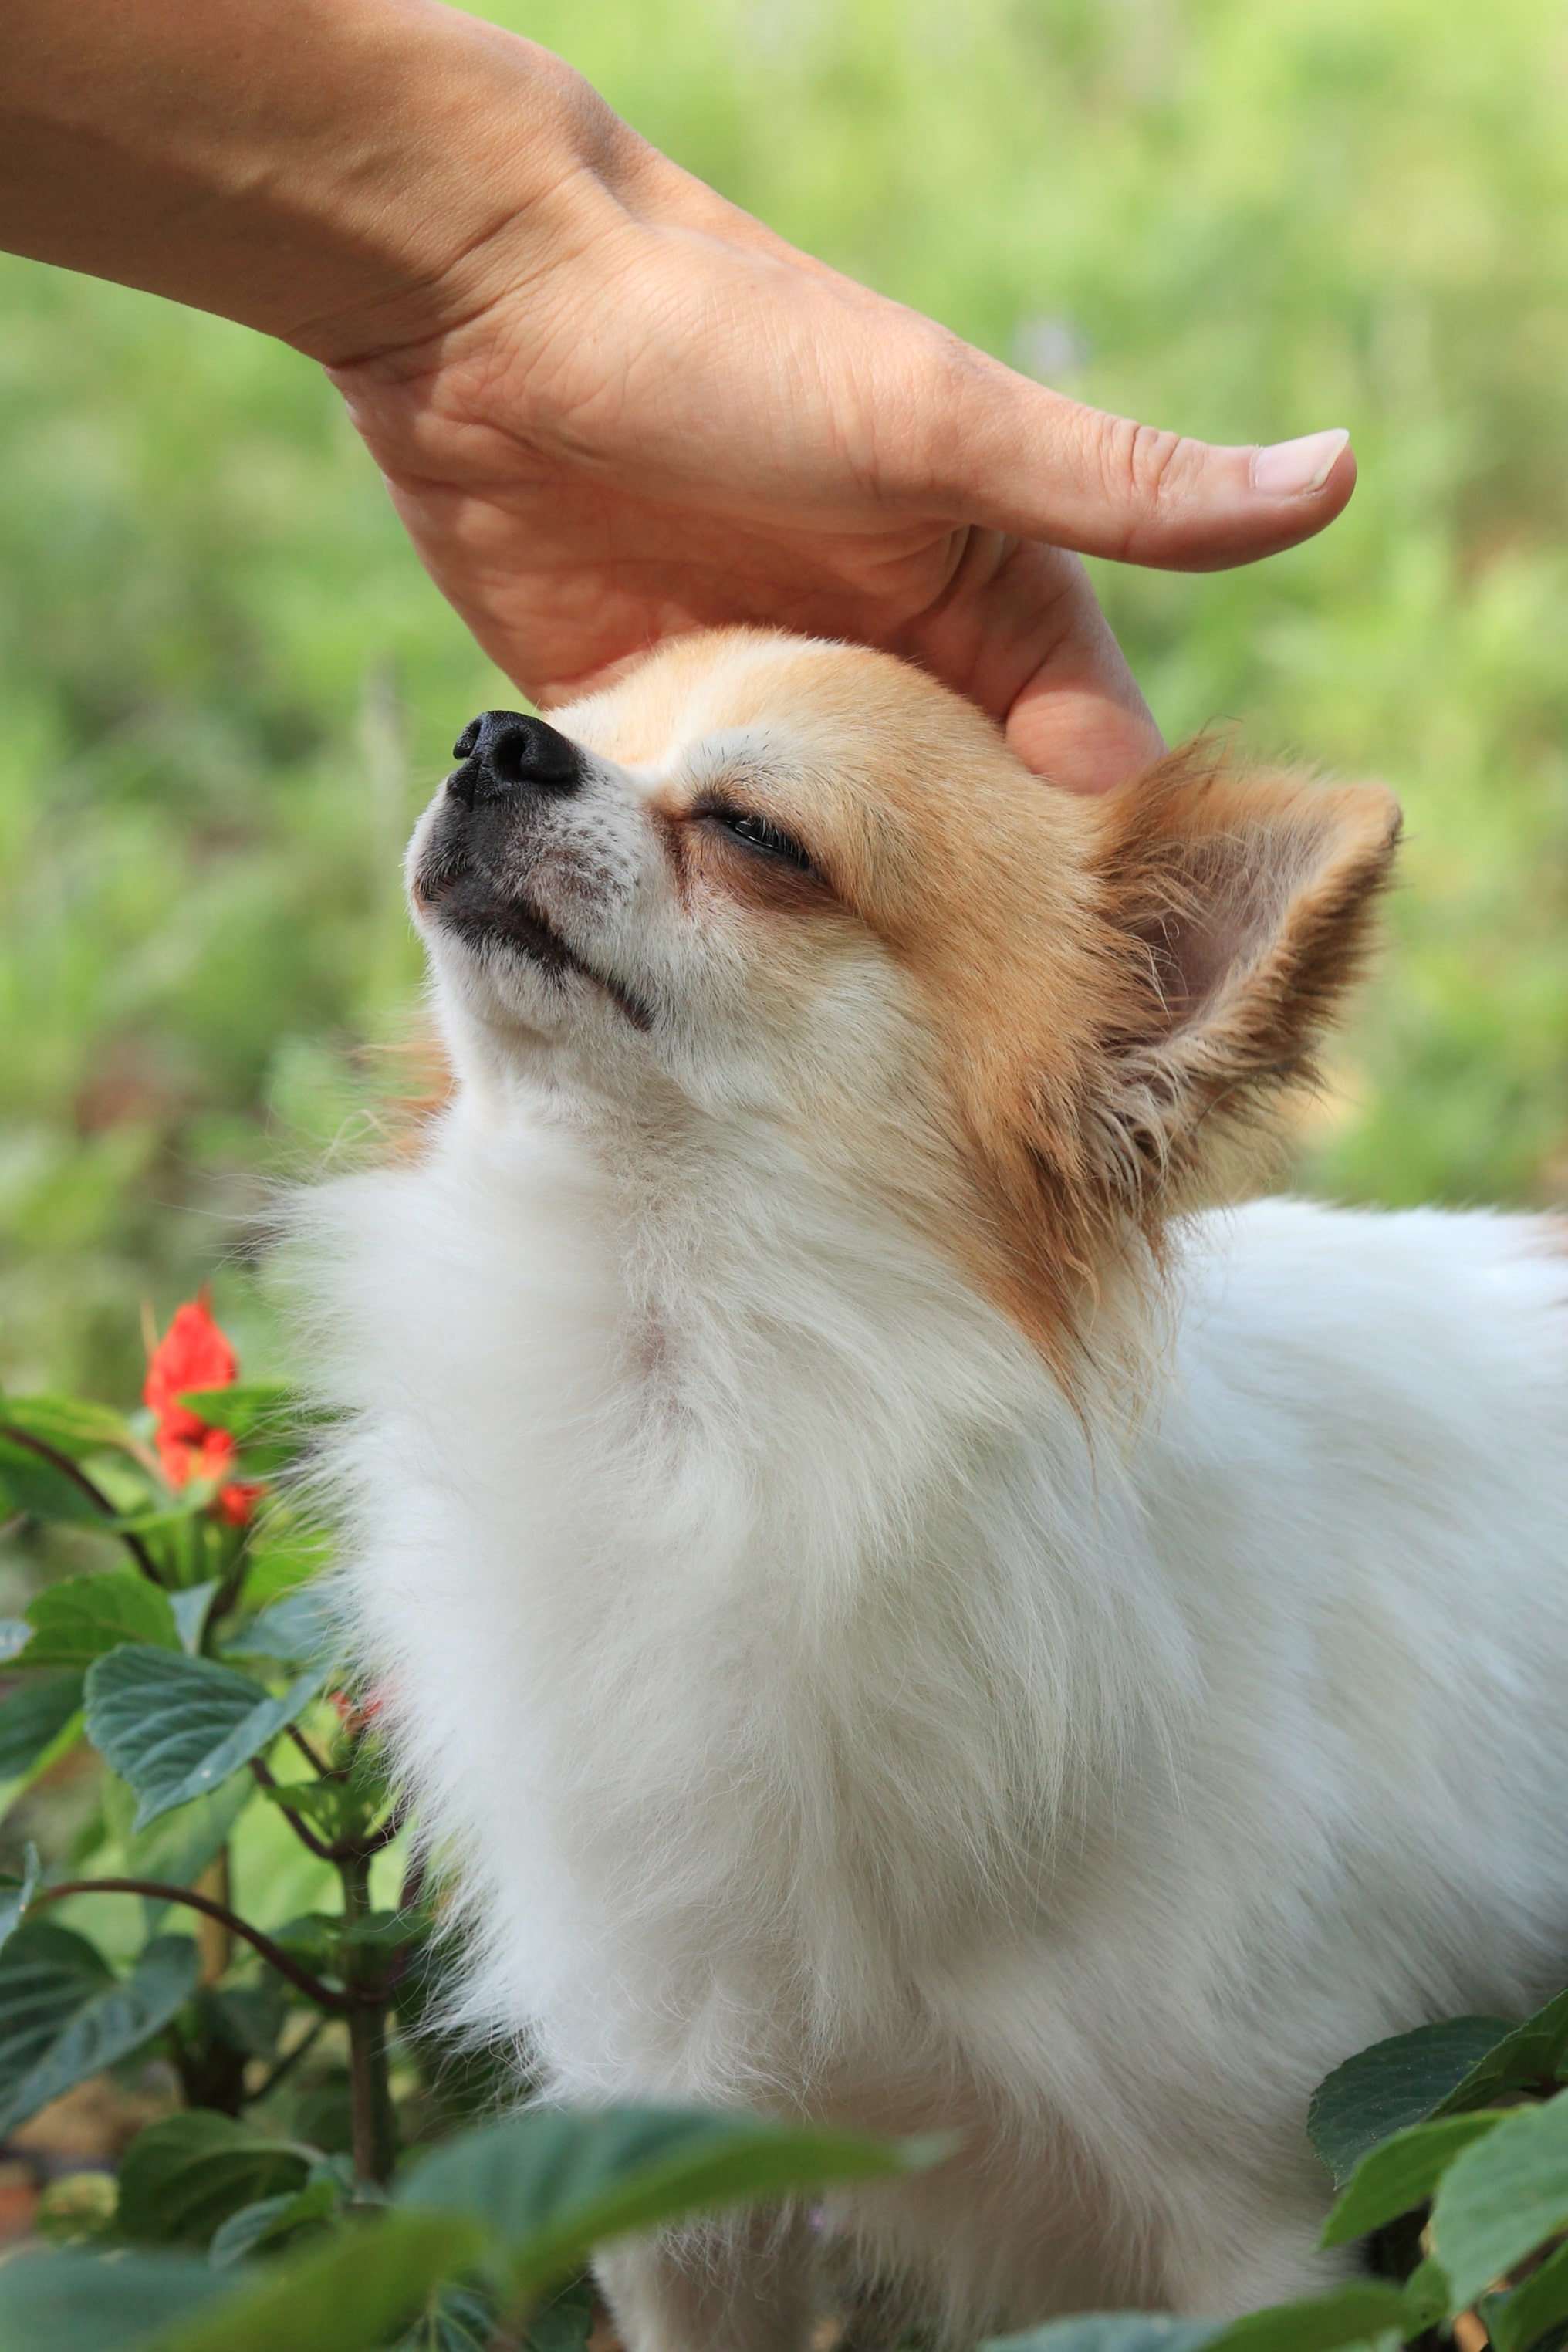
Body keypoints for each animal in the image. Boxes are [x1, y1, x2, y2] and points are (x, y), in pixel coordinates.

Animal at [297, 630, 1568, 2352]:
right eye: (551, 723)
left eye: (759, 836)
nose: (498, 741)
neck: (704, 1421)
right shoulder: (670, 2169)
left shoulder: (1260, 2200)